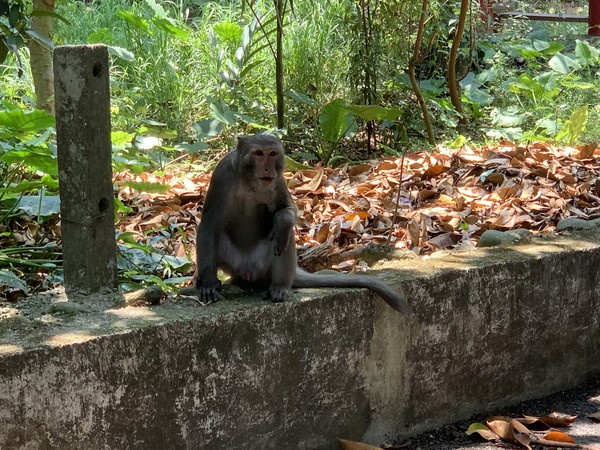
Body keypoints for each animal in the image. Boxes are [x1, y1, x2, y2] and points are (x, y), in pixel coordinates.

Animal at [192, 135, 412, 314]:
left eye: (272, 153)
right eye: (258, 153)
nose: (267, 168)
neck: (249, 182)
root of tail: (248, 270)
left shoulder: (278, 179)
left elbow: (288, 210)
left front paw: (281, 220)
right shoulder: (222, 175)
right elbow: (209, 225)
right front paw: (208, 282)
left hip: (265, 264)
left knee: (284, 237)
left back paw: (280, 286)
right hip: (233, 262)